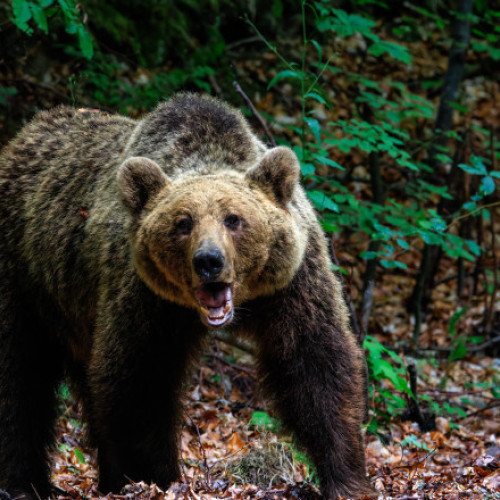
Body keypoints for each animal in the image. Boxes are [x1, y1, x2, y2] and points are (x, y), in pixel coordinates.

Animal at [0, 94, 374, 500]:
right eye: (183, 223)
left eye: (234, 219)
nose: (208, 260)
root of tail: (23, 136)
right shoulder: (146, 298)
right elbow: (140, 380)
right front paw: (152, 476)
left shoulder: (291, 284)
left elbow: (315, 364)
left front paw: (346, 476)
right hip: (22, 275)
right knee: (19, 378)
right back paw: (23, 482)